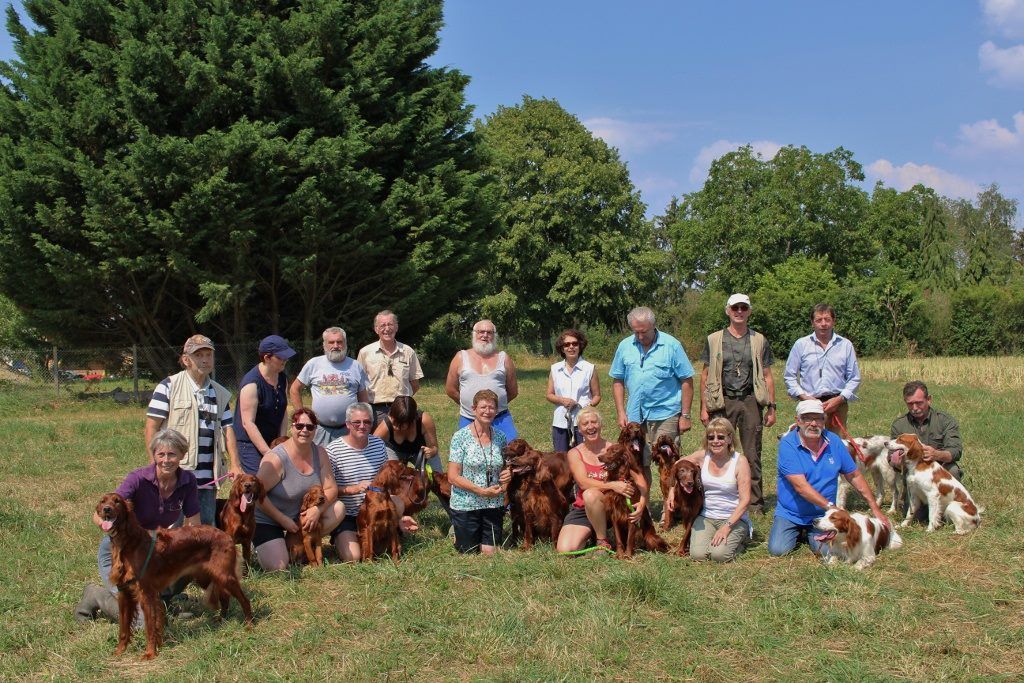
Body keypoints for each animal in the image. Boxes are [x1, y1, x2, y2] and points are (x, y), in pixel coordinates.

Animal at [96, 493, 251, 659]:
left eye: (117, 502)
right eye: (103, 501)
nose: (107, 509)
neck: (127, 544)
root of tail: (225, 535)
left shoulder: (146, 595)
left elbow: (150, 628)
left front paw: (150, 653)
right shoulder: (124, 594)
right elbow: (123, 629)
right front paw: (119, 651)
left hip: (224, 576)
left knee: (244, 599)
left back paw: (249, 624)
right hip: (209, 577)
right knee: (225, 597)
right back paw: (221, 618)